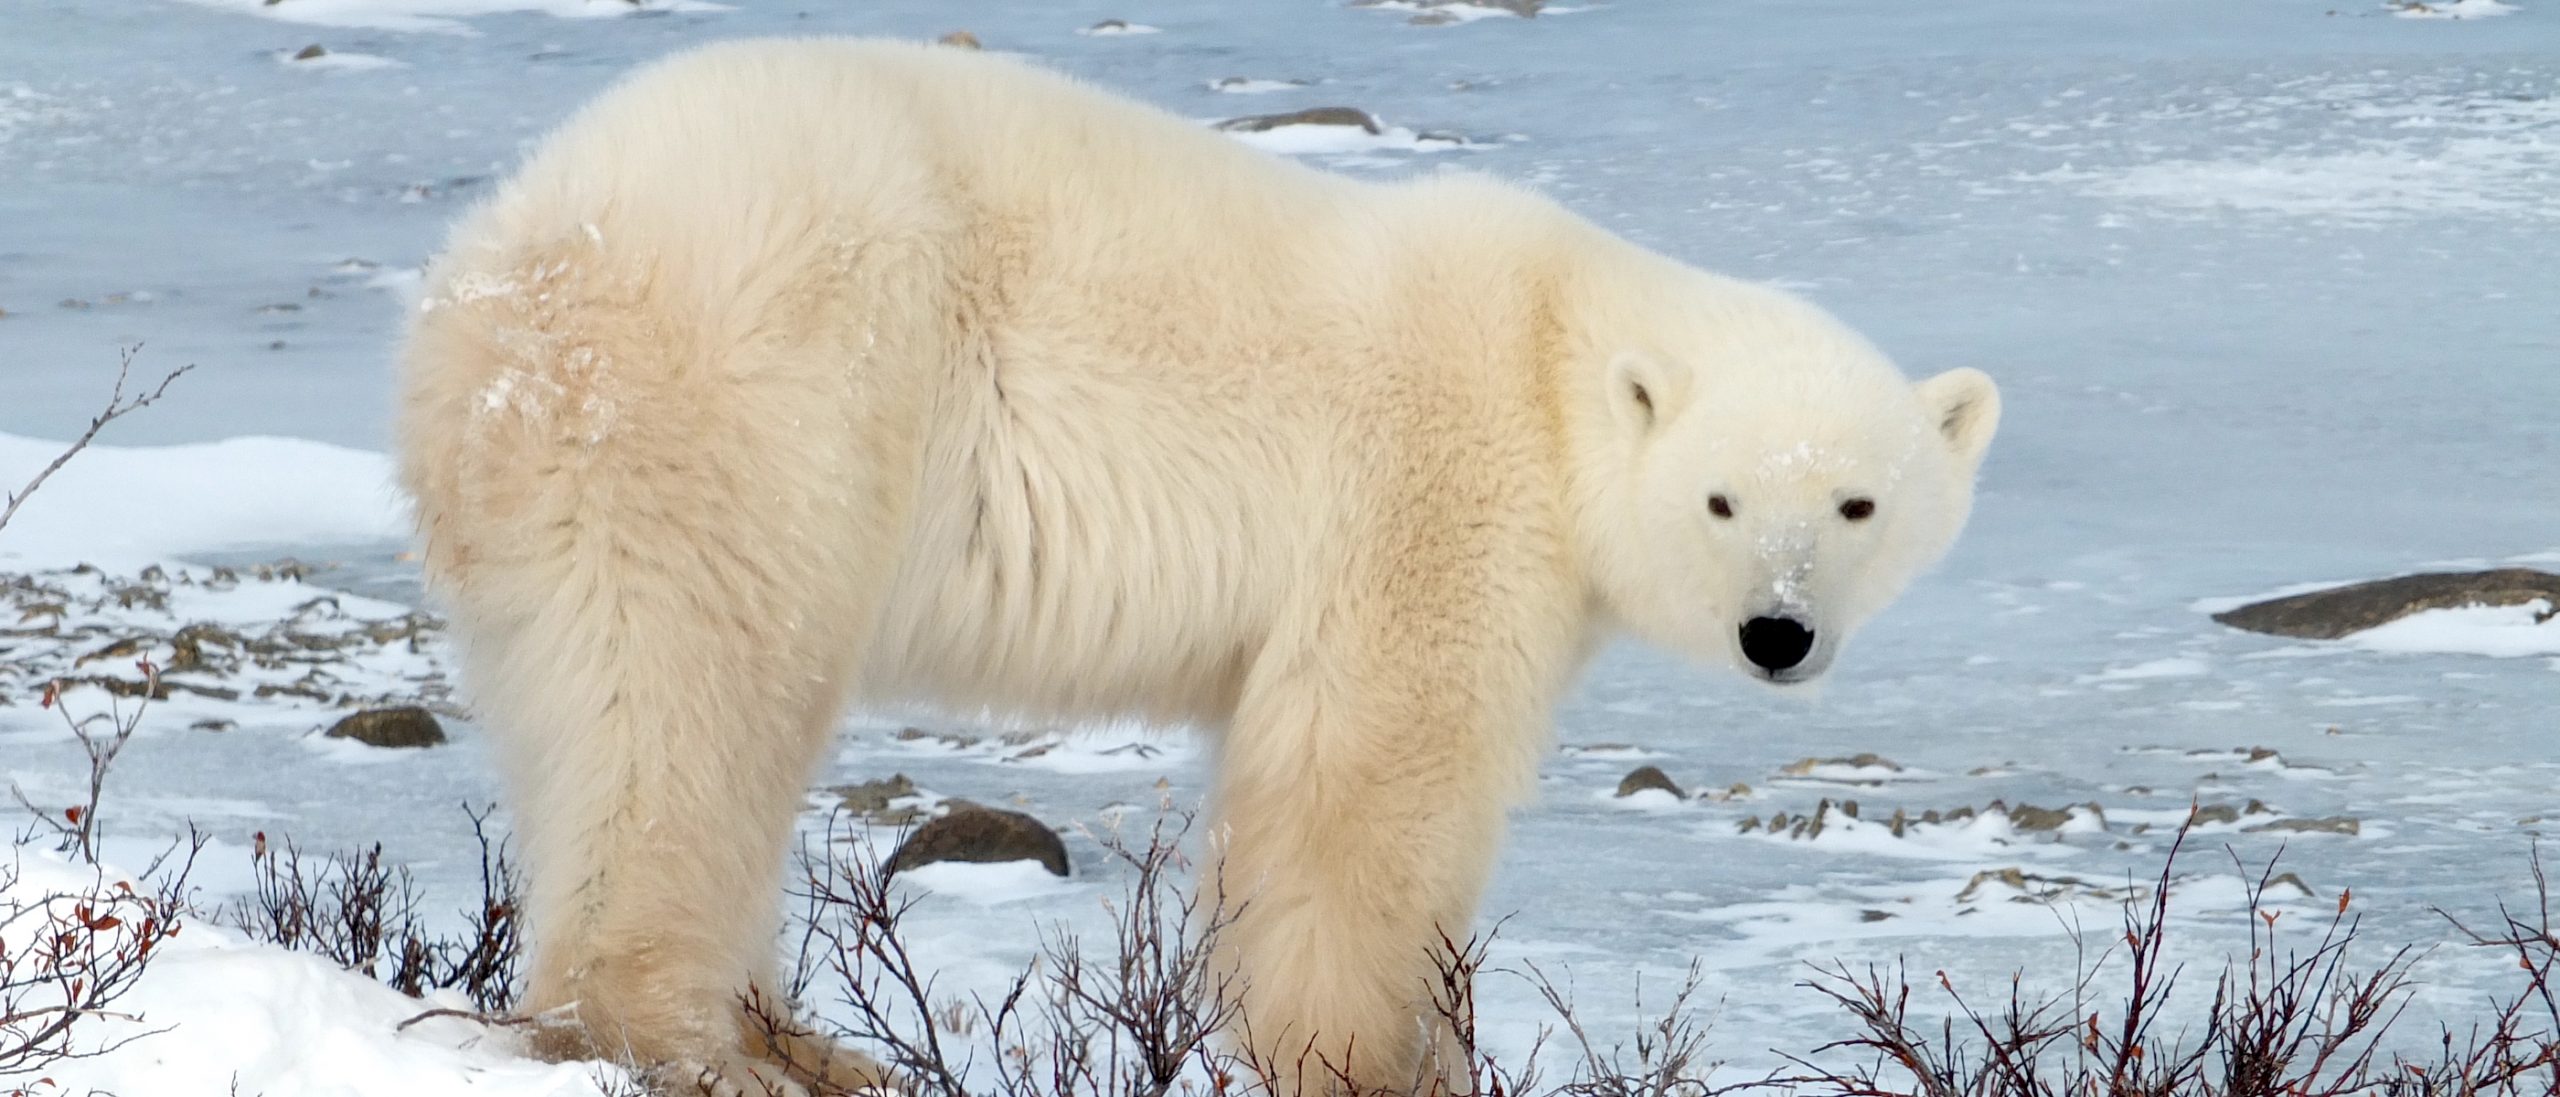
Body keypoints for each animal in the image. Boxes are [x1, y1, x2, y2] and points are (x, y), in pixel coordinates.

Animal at [395, 36, 1999, 1095]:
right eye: (1723, 500)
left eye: (1856, 503)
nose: (1779, 633)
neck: (1551, 350)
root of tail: (507, 263)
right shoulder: (1431, 488)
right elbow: (1366, 776)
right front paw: (1378, 1060)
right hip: (756, 392)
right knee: (696, 691)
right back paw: (711, 1047)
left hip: (549, 482)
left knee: (591, 706)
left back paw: (799, 1039)